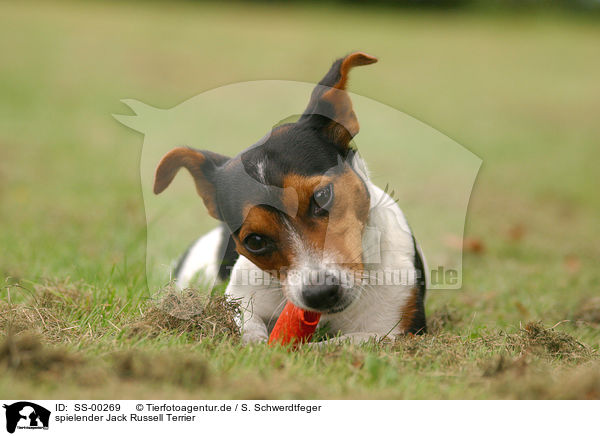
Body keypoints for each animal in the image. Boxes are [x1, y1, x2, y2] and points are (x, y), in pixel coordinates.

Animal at [155, 52, 426, 344]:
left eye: (322, 196)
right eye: (255, 241)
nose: (320, 293)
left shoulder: (397, 331)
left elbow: (341, 342)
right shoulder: (241, 298)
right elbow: (247, 326)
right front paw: (256, 342)